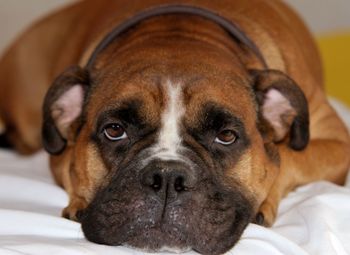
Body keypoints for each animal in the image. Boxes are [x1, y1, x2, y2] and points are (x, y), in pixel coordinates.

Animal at [0, 0, 350, 254]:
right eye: (114, 130)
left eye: (226, 136)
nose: (167, 178)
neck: (180, 35)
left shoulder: (337, 143)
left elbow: (286, 158)